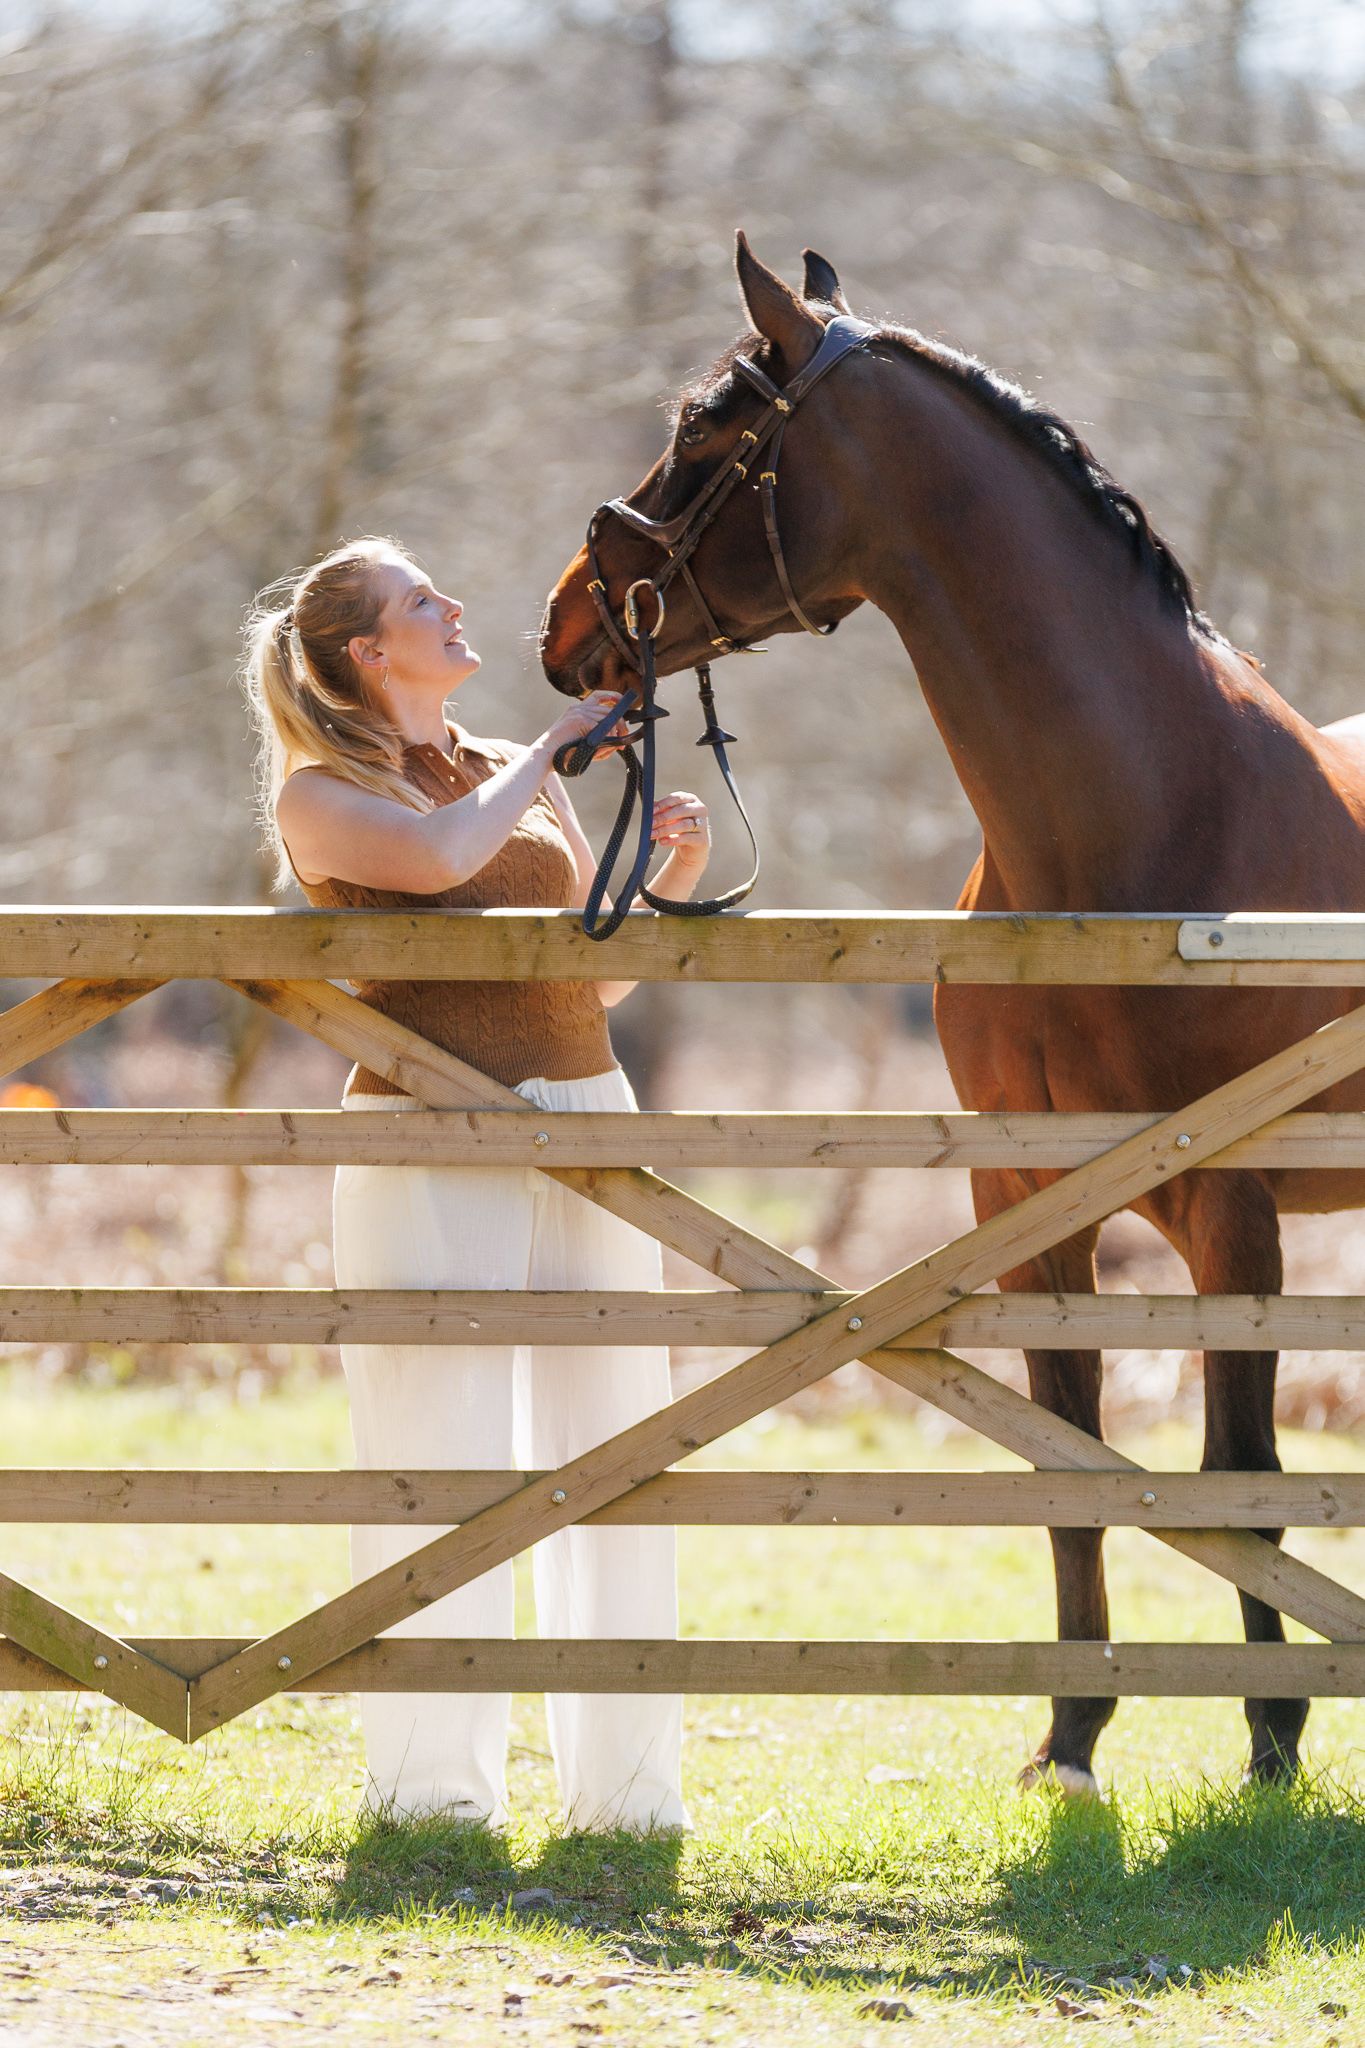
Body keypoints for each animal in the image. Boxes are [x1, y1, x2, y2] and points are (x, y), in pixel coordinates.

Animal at [539, 231, 1365, 1792]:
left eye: (708, 441)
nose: (562, 624)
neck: (1153, 815)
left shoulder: (1230, 1203)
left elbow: (1238, 1475)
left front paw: (1274, 1745)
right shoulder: (1025, 1189)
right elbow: (1069, 1450)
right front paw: (1075, 1734)